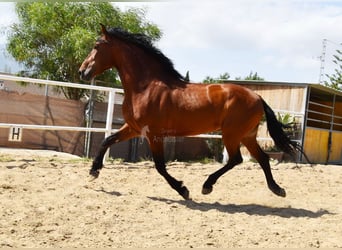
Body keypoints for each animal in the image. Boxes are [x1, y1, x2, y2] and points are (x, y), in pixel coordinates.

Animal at [79, 23, 302, 199]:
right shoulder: (133, 128)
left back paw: (207, 186)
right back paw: (277, 189)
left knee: (236, 159)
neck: (146, 87)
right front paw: (93, 171)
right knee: (262, 158)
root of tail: (257, 97)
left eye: (96, 46)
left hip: (232, 134)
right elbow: (107, 140)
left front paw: (183, 190)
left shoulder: (154, 134)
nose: (82, 72)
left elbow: (160, 166)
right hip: (247, 135)